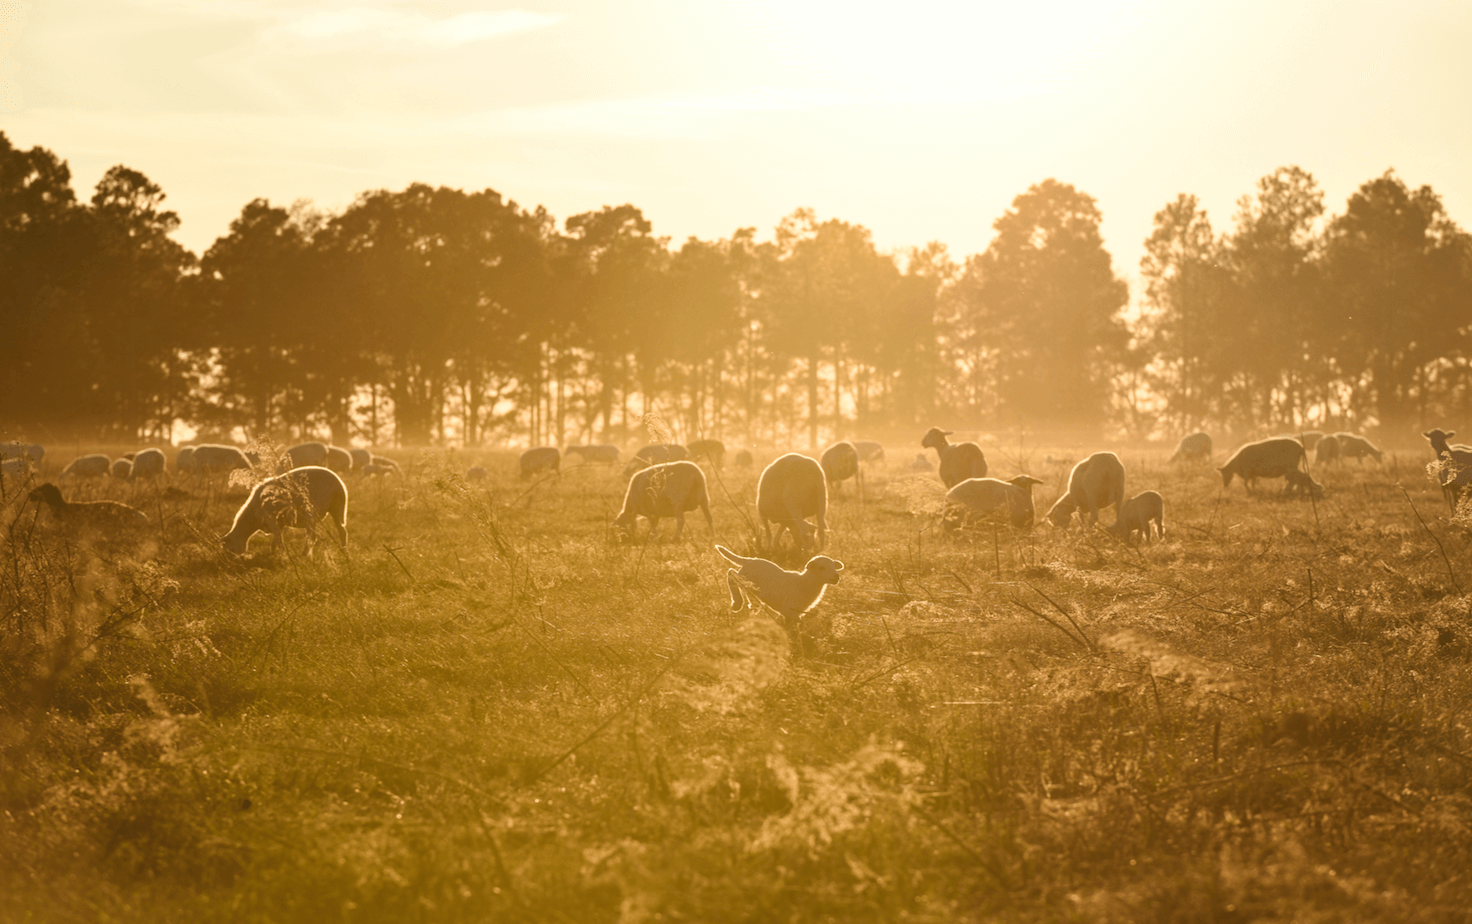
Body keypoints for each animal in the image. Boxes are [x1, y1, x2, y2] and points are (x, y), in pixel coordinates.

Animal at [219, 464, 348, 553]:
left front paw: (282, 556)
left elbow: (279, 541)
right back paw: (344, 551)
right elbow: (274, 541)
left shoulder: (272, 520)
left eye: (228, 548)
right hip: (336, 508)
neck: (252, 518)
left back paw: (303, 555)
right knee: (342, 531)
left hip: (313, 512)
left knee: (312, 537)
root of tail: (339, 484)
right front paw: (272, 554)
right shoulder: (278, 523)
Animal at [718, 541, 847, 650]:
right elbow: (801, 625)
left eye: (834, 567)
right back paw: (737, 603)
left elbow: (790, 627)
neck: (804, 583)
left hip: (750, 585)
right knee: (731, 574)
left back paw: (751, 607)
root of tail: (749, 560)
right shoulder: (790, 609)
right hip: (744, 579)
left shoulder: (790, 613)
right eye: (821, 568)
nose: (836, 577)